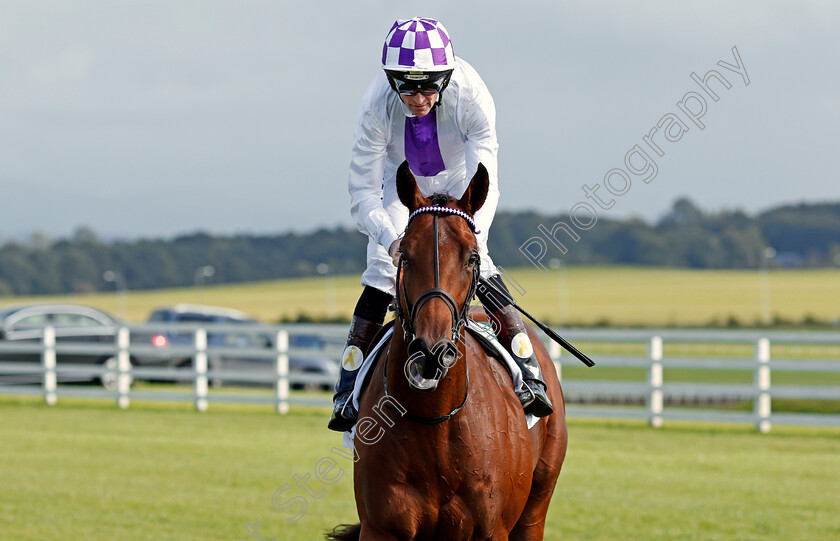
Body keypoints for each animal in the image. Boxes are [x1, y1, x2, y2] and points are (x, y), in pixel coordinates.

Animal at [326, 162, 564, 536]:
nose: (431, 351)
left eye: (471, 257)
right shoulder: (380, 529)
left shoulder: (492, 530)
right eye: (405, 255)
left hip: (536, 506)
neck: (434, 421)